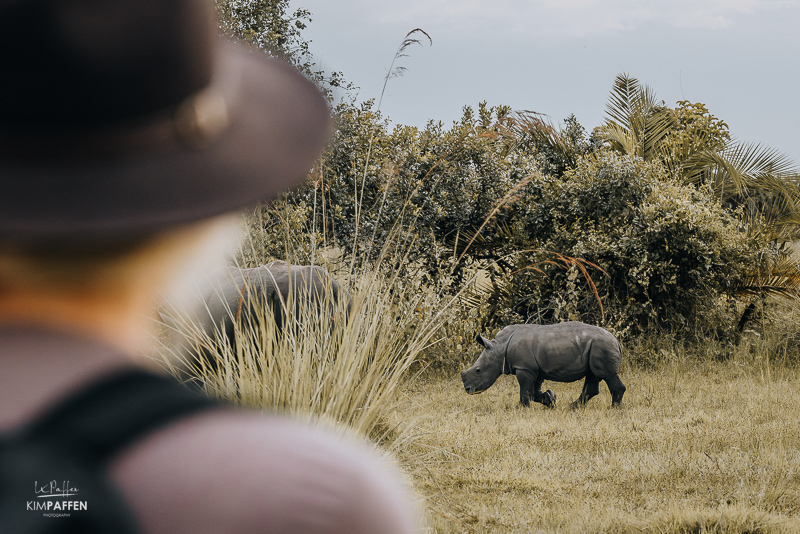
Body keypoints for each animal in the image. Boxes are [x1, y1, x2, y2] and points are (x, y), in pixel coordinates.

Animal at [460, 322, 626, 409]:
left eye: (478, 370)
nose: (468, 389)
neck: (499, 348)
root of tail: (617, 341)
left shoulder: (524, 367)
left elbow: (525, 390)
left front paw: (520, 408)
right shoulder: (535, 368)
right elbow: (534, 391)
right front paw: (550, 400)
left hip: (602, 345)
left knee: (607, 375)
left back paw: (613, 408)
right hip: (596, 346)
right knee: (591, 376)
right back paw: (572, 407)